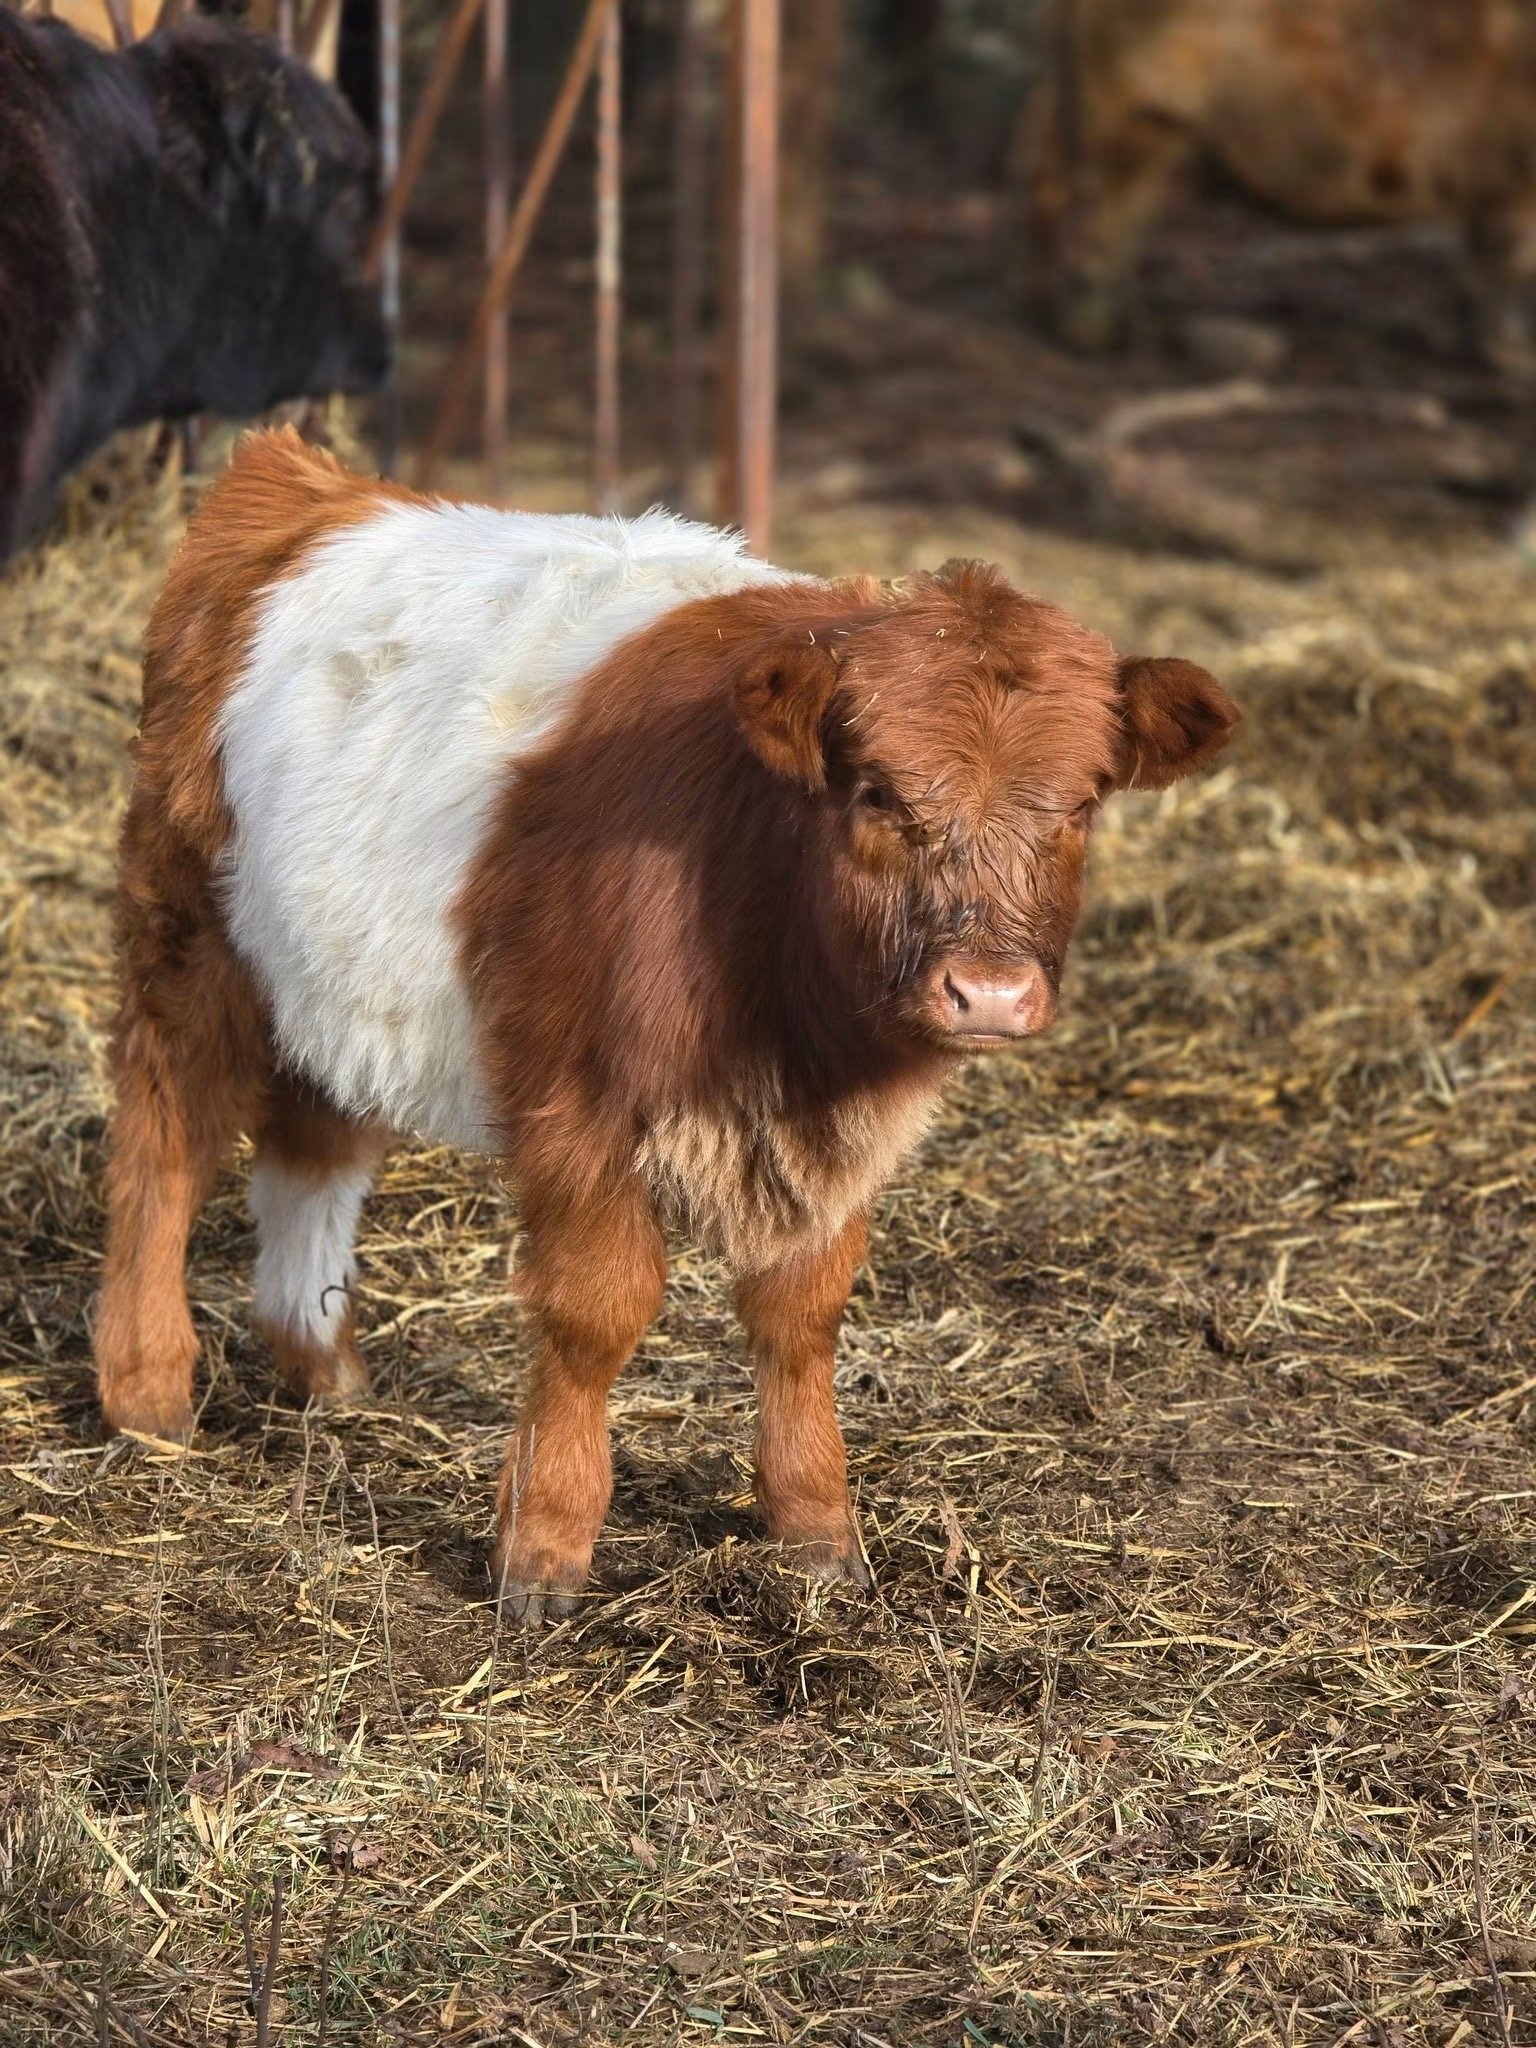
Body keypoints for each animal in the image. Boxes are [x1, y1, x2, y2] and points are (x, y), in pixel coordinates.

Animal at [93, 429, 1238, 1621]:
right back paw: (147, 1391)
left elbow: (802, 1314)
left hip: (332, 971)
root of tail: (309, 479)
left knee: (315, 1140)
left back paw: (324, 1367)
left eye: (1083, 803)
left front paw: (817, 1529)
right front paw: (543, 1548)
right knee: (163, 1135)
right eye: (878, 792)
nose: (991, 991)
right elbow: (596, 1312)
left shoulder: (830, 1145)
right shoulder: (579, 1099)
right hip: (188, 935)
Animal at [1019, 0, 1536, 372]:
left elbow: (1486, 257)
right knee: (1107, 207)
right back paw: (1102, 339)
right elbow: (1511, 262)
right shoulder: (1517, 175)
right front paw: (1510, 360)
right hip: (1144, 112)